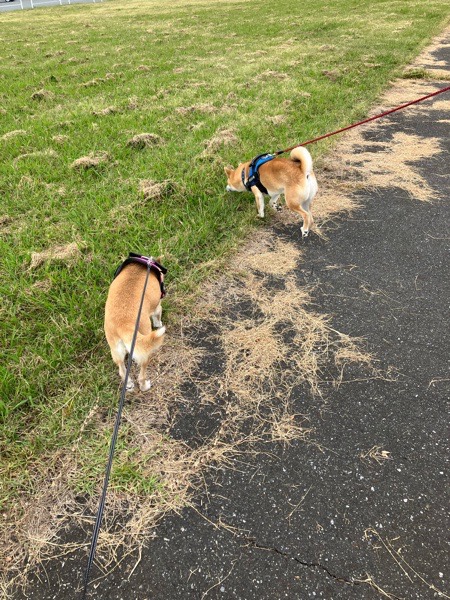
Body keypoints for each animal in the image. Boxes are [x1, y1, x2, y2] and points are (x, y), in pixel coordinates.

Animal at [104, 256, 166, 392]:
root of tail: (123, 324)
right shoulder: (157, 307)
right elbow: (158, 316)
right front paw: (159, 323)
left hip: (116, 350)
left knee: (122, 370)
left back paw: (128, 384)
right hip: (145, 350)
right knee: (141, 374)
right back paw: (144, 386)